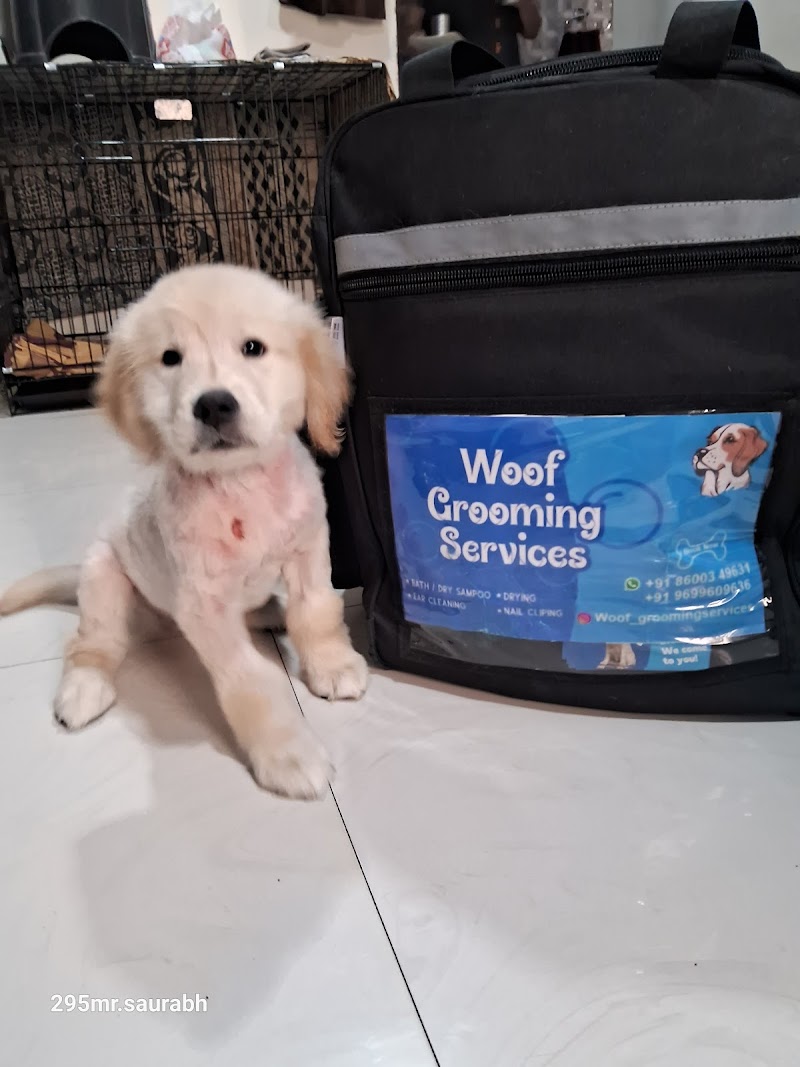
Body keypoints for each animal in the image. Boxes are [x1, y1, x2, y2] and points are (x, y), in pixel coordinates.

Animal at [0, 264, 368, 800]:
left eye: (253, 348)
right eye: (171, 358)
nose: (213, 406)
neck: (240, 483)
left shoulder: (310, 553)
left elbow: (317, 611)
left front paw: (332, 664)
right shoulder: (204, 604)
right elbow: (251, 680)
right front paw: (288, 755)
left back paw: (271, 612)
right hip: (104, 577)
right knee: (92, 643)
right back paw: (84, 688)